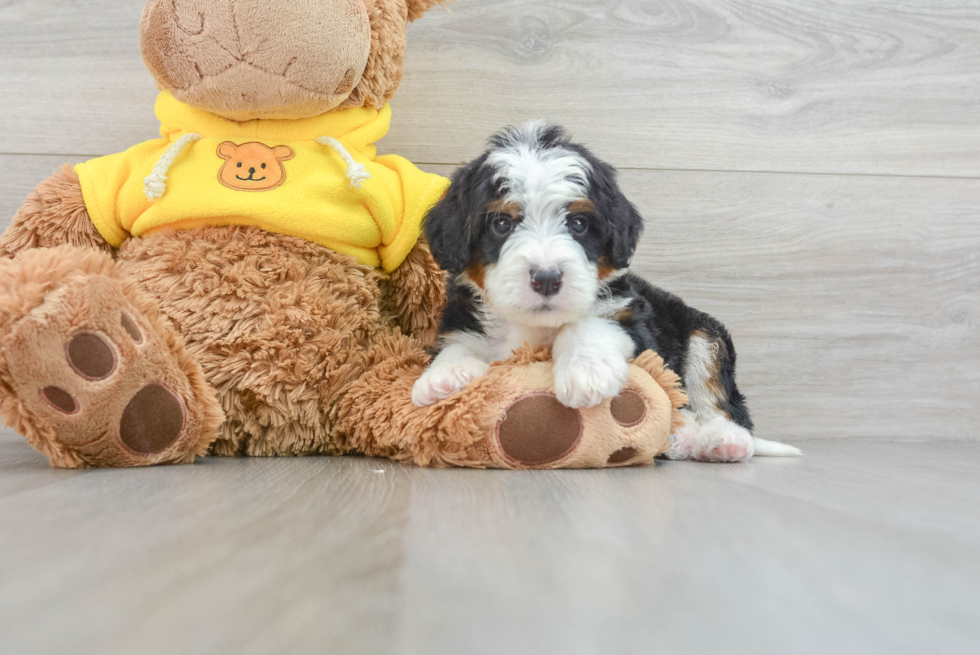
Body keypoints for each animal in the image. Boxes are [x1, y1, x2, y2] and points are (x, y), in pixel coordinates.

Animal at [410, 121, 800, 462]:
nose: (547, 278)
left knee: (717, 399)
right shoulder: (463, 319)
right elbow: (461, 343)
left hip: (706, 336)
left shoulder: (633, 321)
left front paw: (587, 373)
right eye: (502, 223)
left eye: (579, 224)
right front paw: (444, 377)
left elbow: (592, 324)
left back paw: (720, 439)